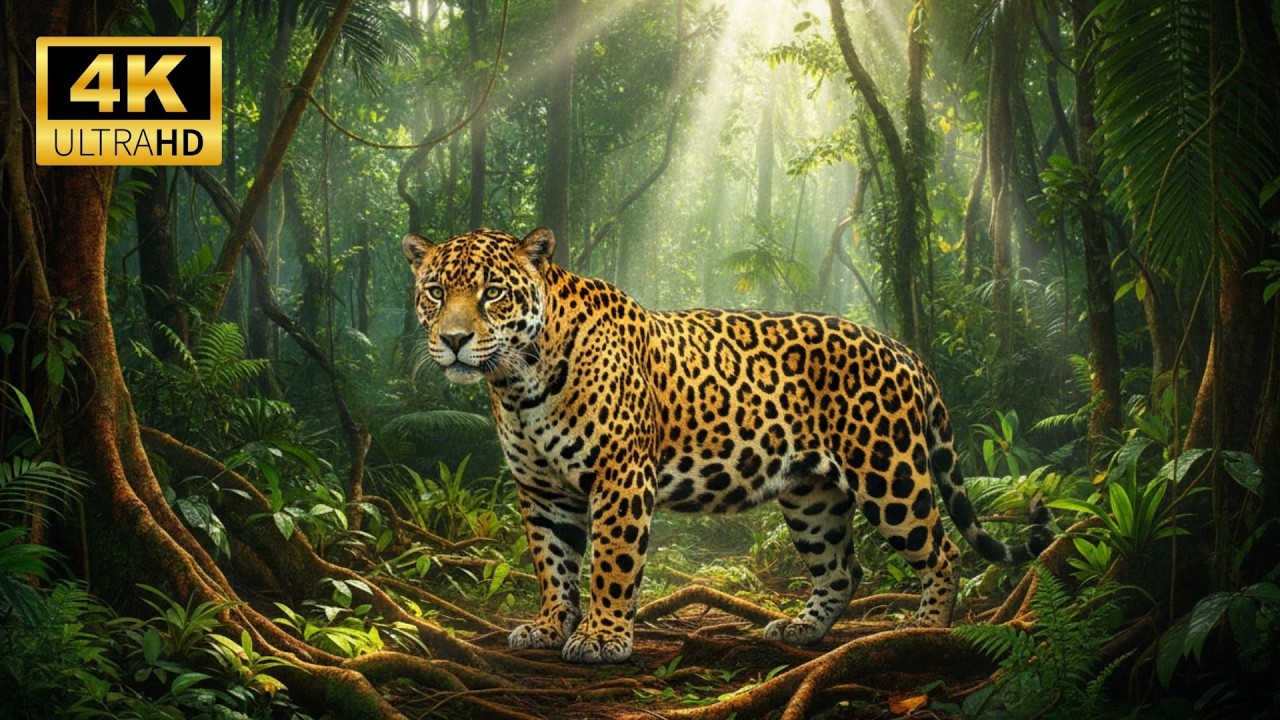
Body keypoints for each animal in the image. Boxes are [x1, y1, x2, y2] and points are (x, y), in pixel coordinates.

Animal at [403, 226, 1054, 664]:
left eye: (492, 294)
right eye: (434, 291)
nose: (454, 340)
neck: (518, 383)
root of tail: (904, 349)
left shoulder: (619, 478)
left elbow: (611, 564)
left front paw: (602, 637)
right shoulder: (541, 490)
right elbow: (552, 564)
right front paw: (547, 626)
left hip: (888, 473)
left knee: (942, 552)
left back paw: (924, 631)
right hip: (811, 496)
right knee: (843, 568)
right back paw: (801, 630)